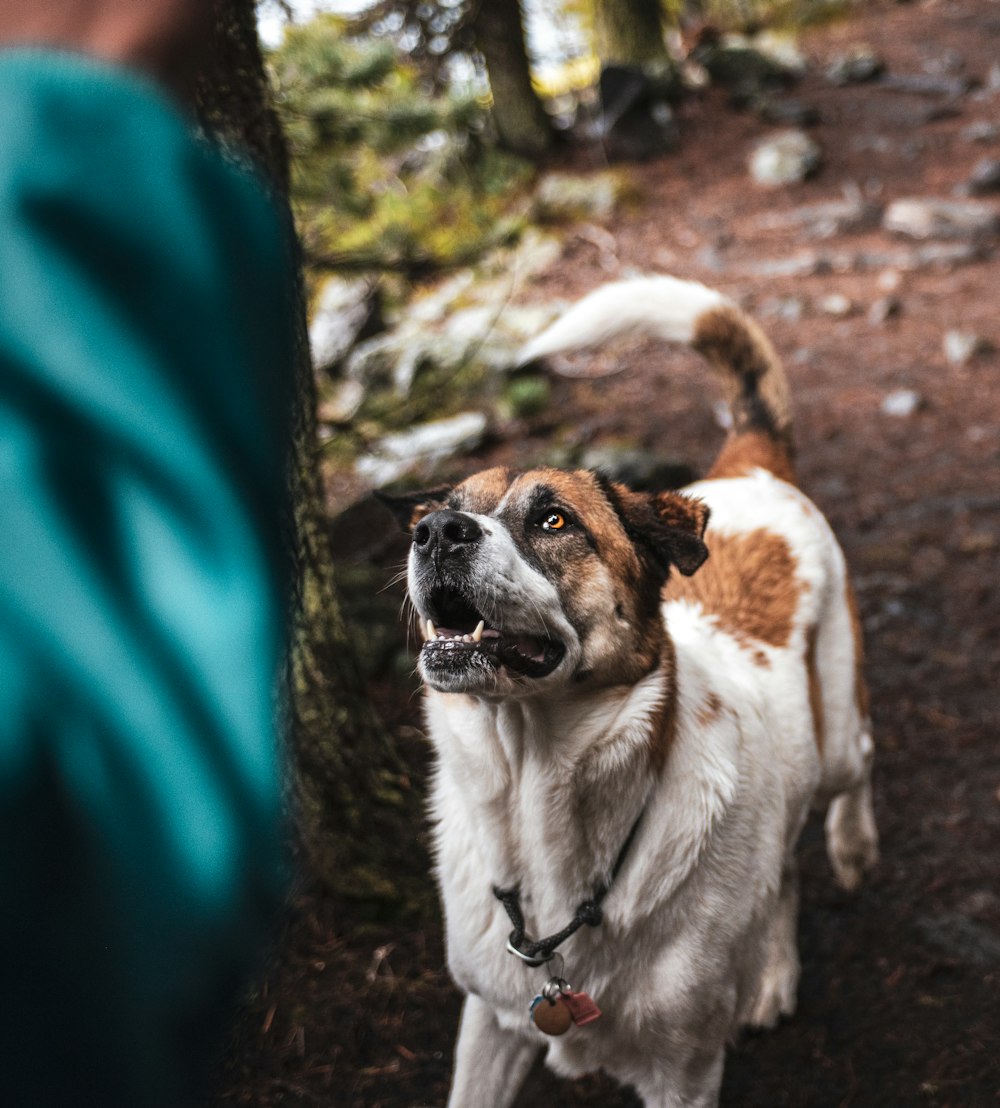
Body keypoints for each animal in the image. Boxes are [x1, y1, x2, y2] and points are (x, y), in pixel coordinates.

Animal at [380, 277, 877, 1108]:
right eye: (449, 509)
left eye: (554, 520)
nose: (439, 531)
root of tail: (752, 466)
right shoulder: (490, 1023)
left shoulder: (684, 1070)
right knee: (782, 862)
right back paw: (773, 971)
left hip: (837, 725)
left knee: (857, 763)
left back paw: (852, 844)